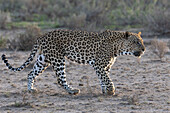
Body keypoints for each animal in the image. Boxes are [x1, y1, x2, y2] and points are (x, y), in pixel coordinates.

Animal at [0, 29, 145, 95]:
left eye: (142, 41)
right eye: (136, 42)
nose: (144, 49)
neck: (117, 47)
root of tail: (42, 35)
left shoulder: (105, 66)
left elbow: (103, 78)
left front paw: (105, 91)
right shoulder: (98, 64)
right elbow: (106, 78)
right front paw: (111, 91)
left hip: (43, 60)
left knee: (30, 73)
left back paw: (31, 89)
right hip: (58, 59)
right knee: (60, 79)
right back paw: (72, 90)